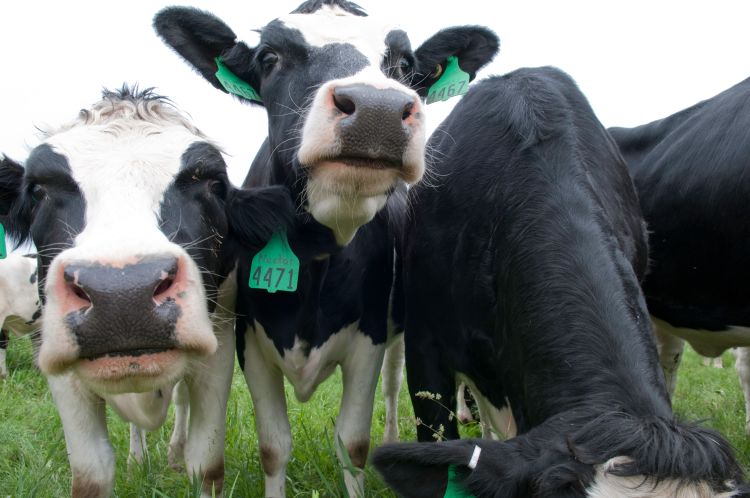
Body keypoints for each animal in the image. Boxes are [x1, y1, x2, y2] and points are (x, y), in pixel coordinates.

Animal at [0, 86, 295, 498]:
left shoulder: (218, 345)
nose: (121, 293)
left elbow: (207, 464)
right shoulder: (57, 360)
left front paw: (186, 458)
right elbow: (90, 476)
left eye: (213, 185)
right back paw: (138, 458)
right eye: (38, 190)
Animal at [153, 1, 498, 495]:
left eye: (404, 64)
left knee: (395, 385)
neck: (316, 253)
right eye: (269, 58)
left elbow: (352, 443)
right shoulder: (249, 340)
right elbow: (273, 446)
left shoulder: (369, 338)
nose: (377, 108)